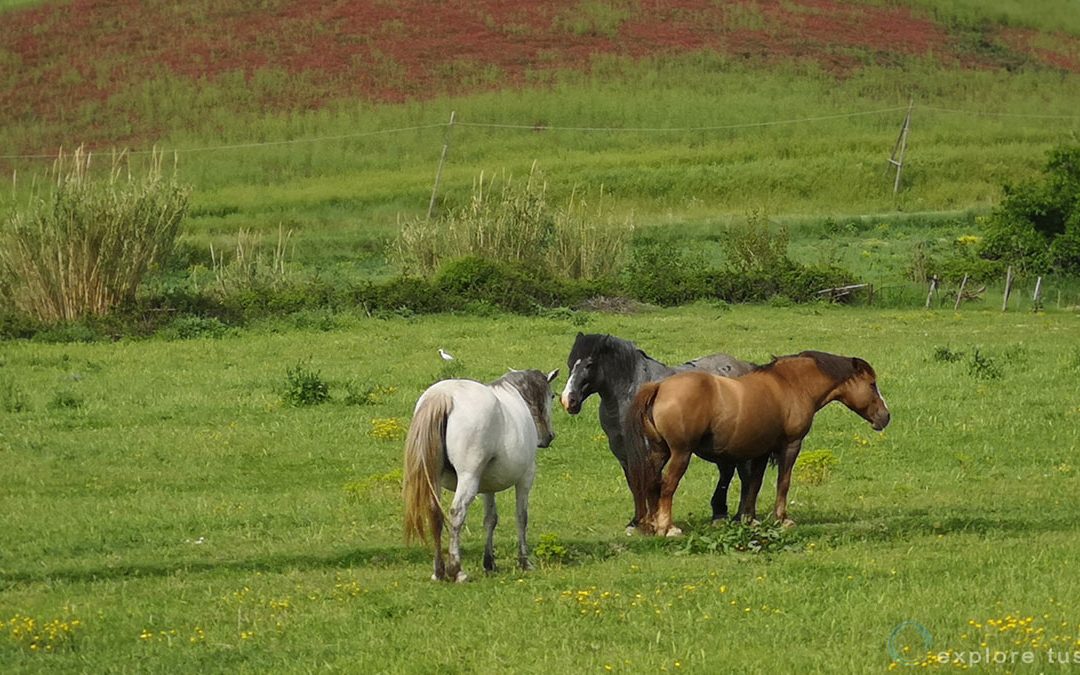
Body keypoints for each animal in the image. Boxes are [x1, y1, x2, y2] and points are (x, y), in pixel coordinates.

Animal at [403, 365, 561, 583]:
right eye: (552, 395)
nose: (548, 437)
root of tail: (443, 397)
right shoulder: (525, 479)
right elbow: (521, 517)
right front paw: (524, 562)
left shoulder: (487, 486)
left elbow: (490, 520)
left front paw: (489, 562)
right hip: (468, 478)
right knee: (457, 513)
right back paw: (457, 570)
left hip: (435, 479)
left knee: (435, 513)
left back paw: (439, 571)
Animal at [561, 332, 756, 527]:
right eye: (570, 363)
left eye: (589, 364)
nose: (568, 400)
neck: (630, 395)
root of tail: (745, 367)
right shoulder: (622, 451)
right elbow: (634, 483)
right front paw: (636, 522)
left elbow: (651, 482)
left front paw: (652, 521)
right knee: (728, 471)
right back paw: (720, 514)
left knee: (745, 476)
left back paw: (743, 517)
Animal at [622, 349, 889, 533]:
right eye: (872, 384)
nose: (885, 417)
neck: (791, 384)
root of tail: (659, 387)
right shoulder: (790, 445)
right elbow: (783, 482)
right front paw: (782, 518)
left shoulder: (761, 450)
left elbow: (754, 484)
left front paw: (749, 519)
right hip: (680, 454)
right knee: (667, 486)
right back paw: (667, 528)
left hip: (659, 452)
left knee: (652, 484)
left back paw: (652, 525)